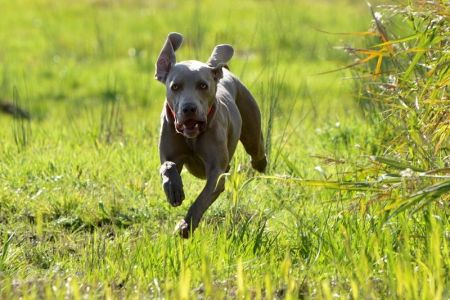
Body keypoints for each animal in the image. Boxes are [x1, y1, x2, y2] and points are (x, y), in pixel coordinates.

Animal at [156, 32, 268, 238]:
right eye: (175, 87)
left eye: (203, 85)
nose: (189, 108)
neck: (192, 136)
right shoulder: (169, 152)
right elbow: (167, 166)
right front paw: (173, 189)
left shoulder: (215, 171)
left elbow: (202, 198)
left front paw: (186, 225)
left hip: (251, 130)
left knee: (256, 151)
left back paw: (260, 163)